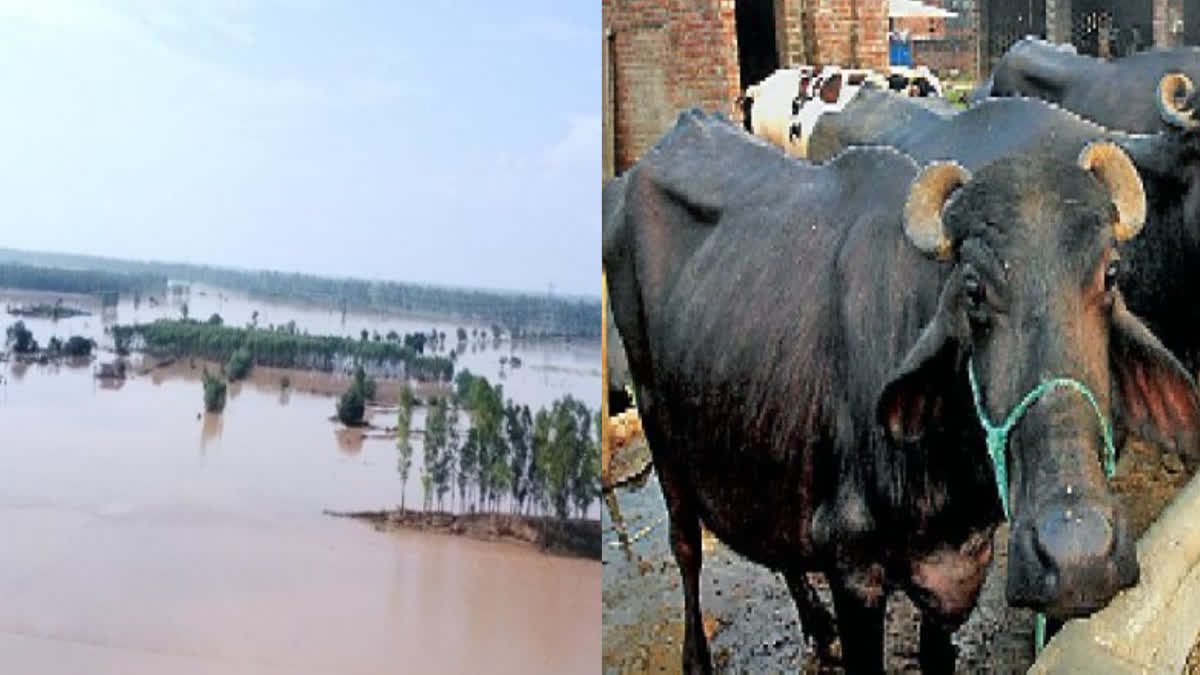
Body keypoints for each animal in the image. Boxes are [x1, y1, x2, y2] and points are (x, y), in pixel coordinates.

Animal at [604, 107, 1200, 667]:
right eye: (973, 289)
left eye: (1111, 273)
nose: (1078, 557)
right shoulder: (854, 575)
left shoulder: (954, 577)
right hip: (656, 420)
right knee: (686, 544)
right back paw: (698, 655)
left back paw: (816, 627)